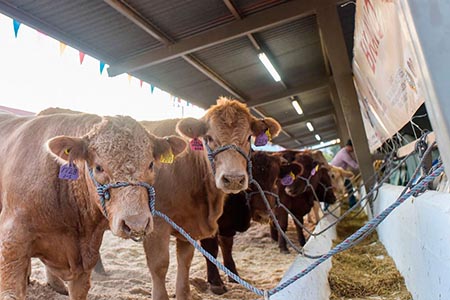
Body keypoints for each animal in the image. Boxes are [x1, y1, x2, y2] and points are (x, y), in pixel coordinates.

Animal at [141, 98, 282, 300]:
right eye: (208, 138)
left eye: (249, 137)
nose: (233, 179)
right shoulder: (156, 225)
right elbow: (161, 265)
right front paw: (216, 283)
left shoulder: (191, 227)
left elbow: (187, 261)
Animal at [198, 151, 300, 294]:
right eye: (249, 184)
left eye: (275, 181)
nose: (264, 215)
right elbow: (211, 249)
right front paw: (216, 283)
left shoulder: (227, 226)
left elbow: (226, 246)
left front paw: (233, 276)